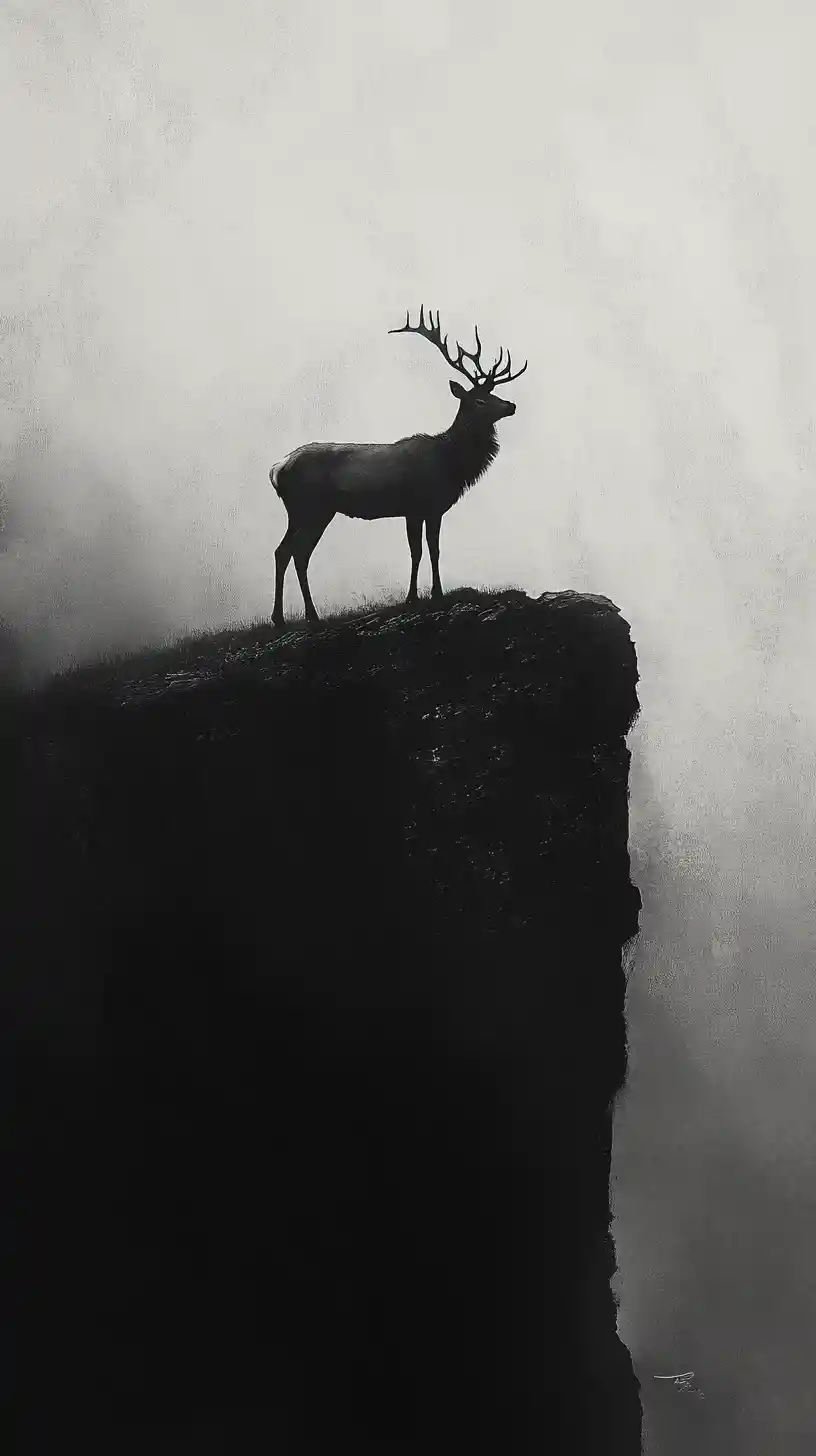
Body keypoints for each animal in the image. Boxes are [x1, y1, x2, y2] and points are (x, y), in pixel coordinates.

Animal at [269, 307, 527, 626]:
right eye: (479, 399)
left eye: (493, 394)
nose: (511, 405)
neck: (450, 463)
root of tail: (277, 470)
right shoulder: (421, 505)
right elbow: (422, 551)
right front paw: (422, 596)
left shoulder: (425, 509)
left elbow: (427, 550)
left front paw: (426, 595)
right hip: (310, 507)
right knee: (295, 552)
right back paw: (304, 616)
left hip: (305, 512)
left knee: (287, 552)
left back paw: (288, 617)